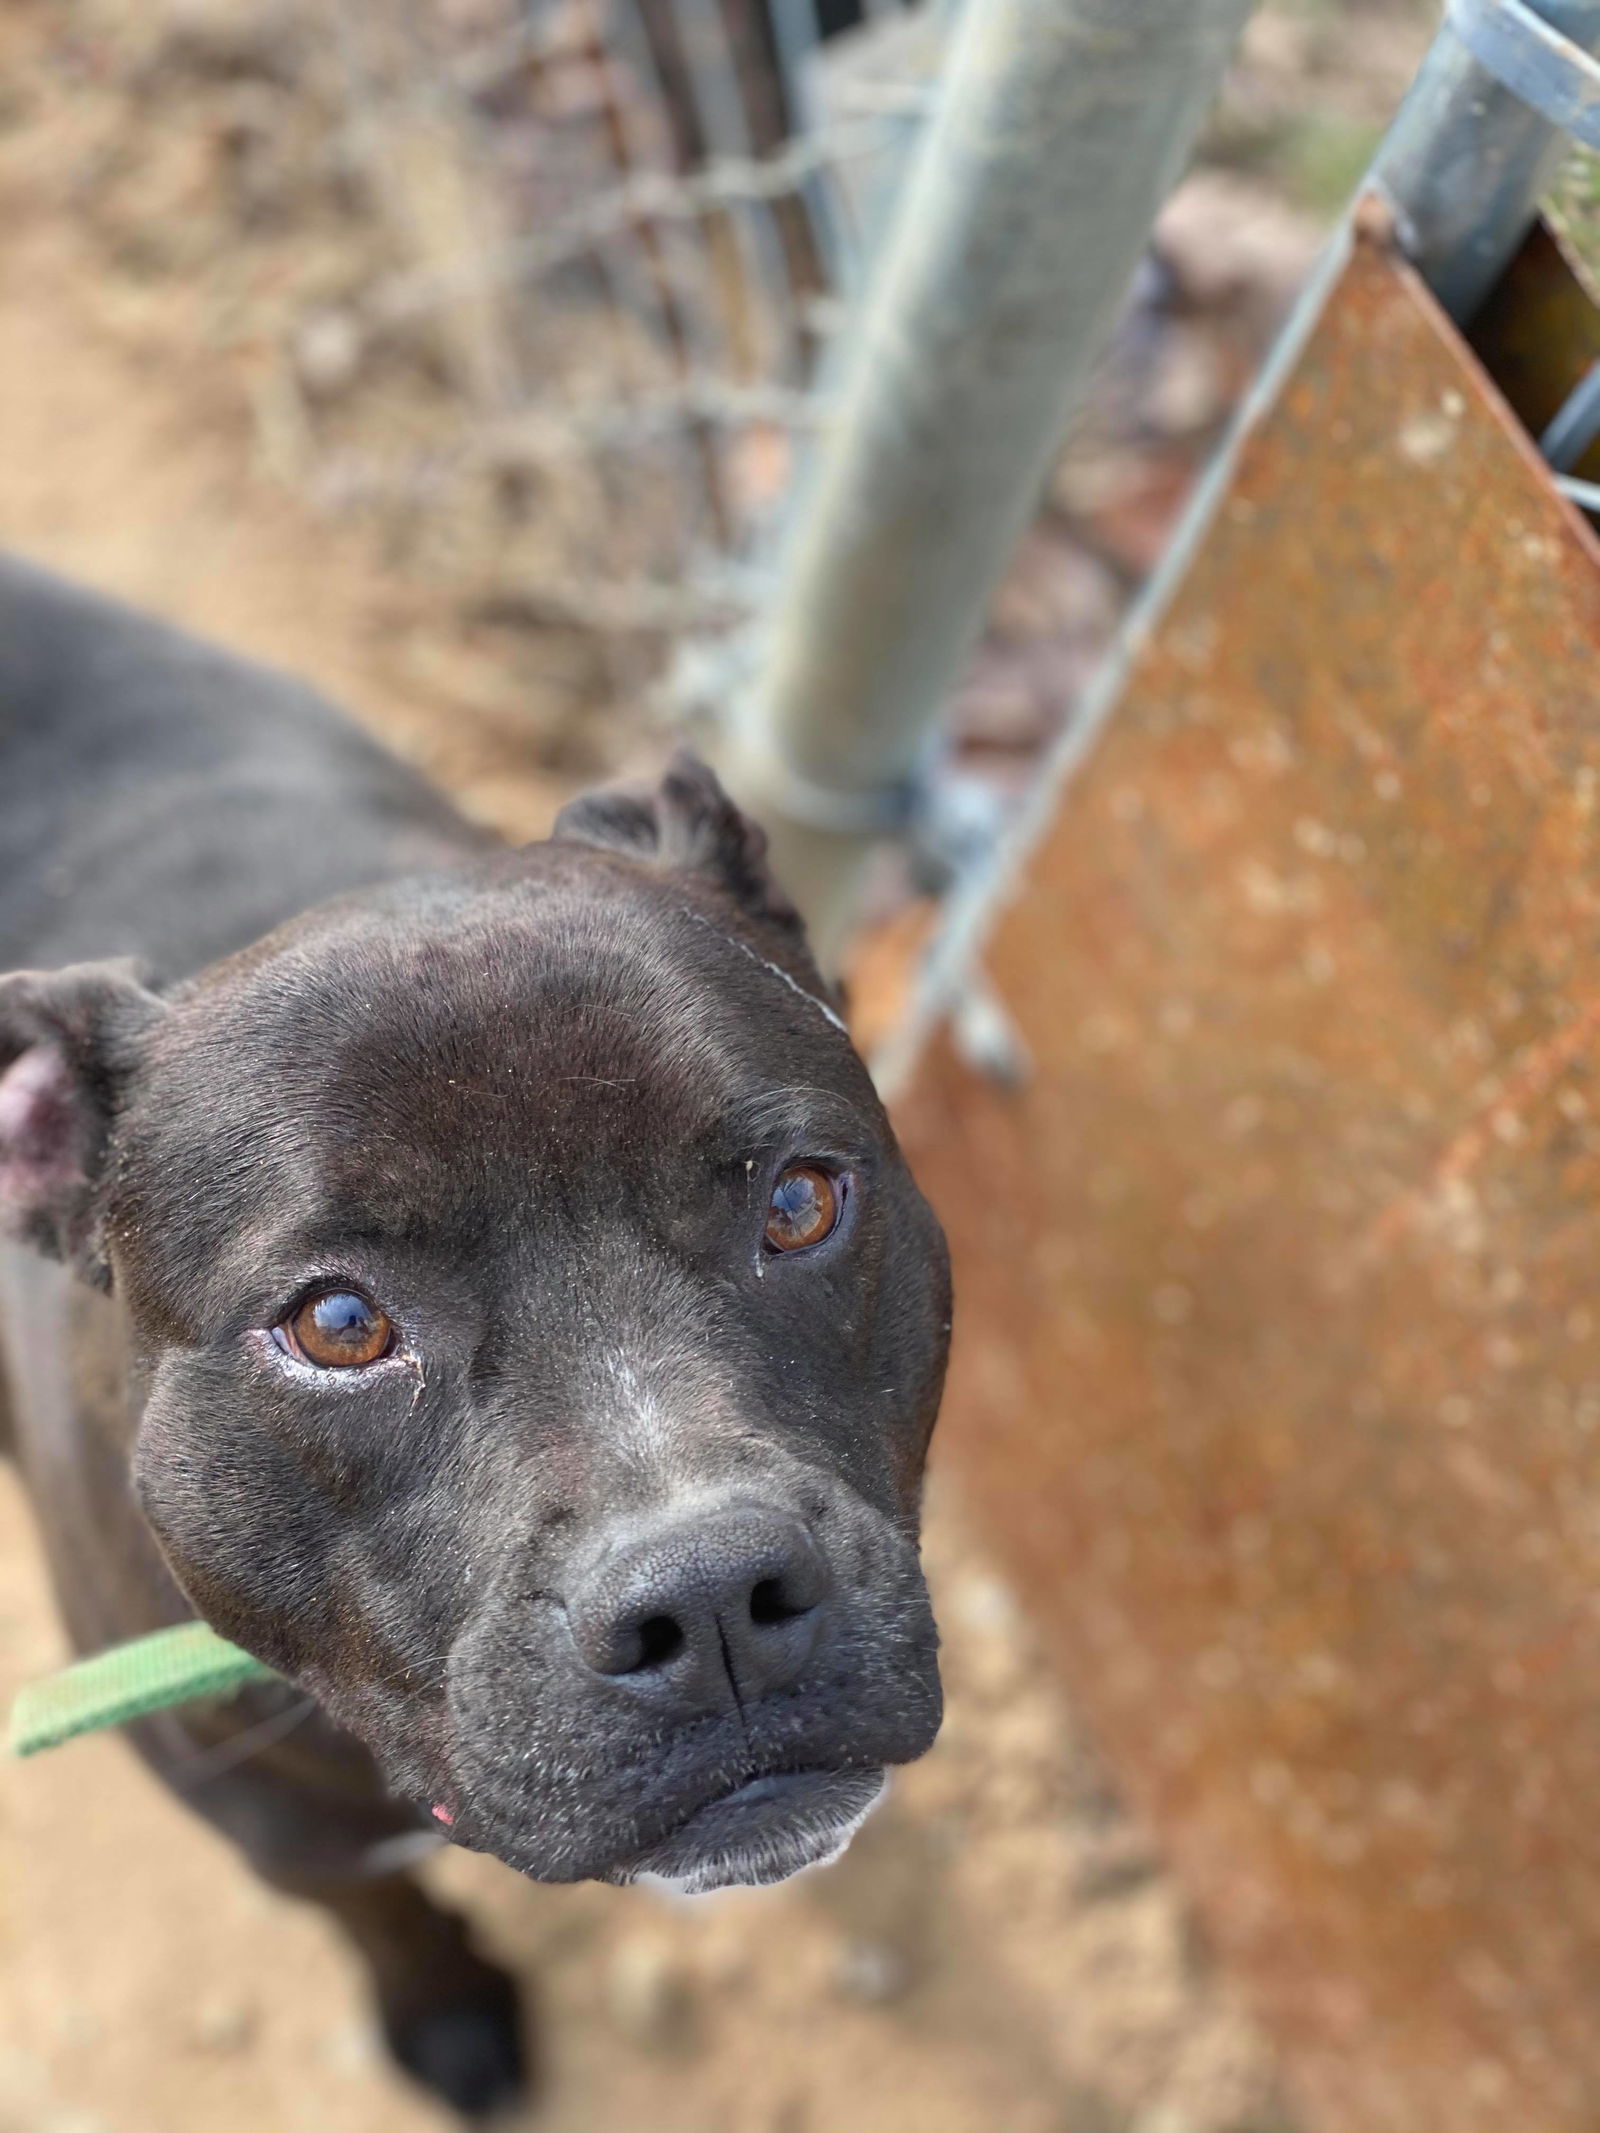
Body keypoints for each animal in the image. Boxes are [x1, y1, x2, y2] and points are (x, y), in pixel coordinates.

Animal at [0, 558, 951, 2124]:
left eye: (799, 1201)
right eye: (337, 1325)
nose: (711, 1595)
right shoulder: (271, 1824)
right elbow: (375, 1912)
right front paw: (441, 2008)